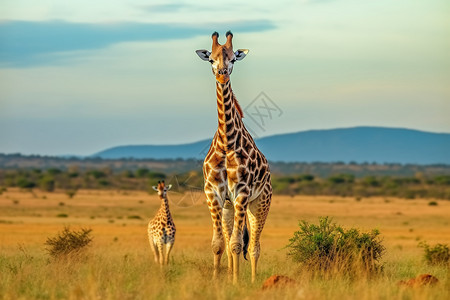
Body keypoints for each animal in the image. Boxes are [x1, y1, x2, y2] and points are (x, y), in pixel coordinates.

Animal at [196, 31, 272, 284]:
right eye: (211, 59)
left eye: (233, 59)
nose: (222, 74)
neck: (227, 142)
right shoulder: (213, 193)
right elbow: (219, 244)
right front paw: (219, 280)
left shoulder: (242, 193)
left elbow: (238, 245)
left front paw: (237, 283)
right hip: (229, 206)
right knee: (231, 243)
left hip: (260, 202)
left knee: (254, 247)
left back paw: (253, 281)